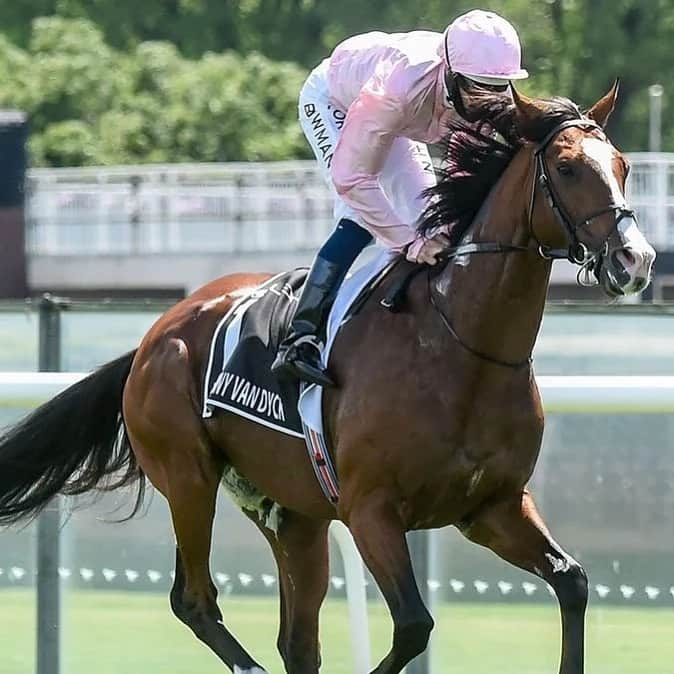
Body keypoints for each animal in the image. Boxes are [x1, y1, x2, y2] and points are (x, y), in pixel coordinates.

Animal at [0, 84, 652, 672]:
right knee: (196, 600)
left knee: (296, 640)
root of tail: (155, 334)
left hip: (292, 514)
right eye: (567, 168)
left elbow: (572, 582)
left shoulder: (493, 505)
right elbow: (414, 626)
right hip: (188, 476)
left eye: (623, 166)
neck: (462, 348)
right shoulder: (371, 511)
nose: (636, 260)